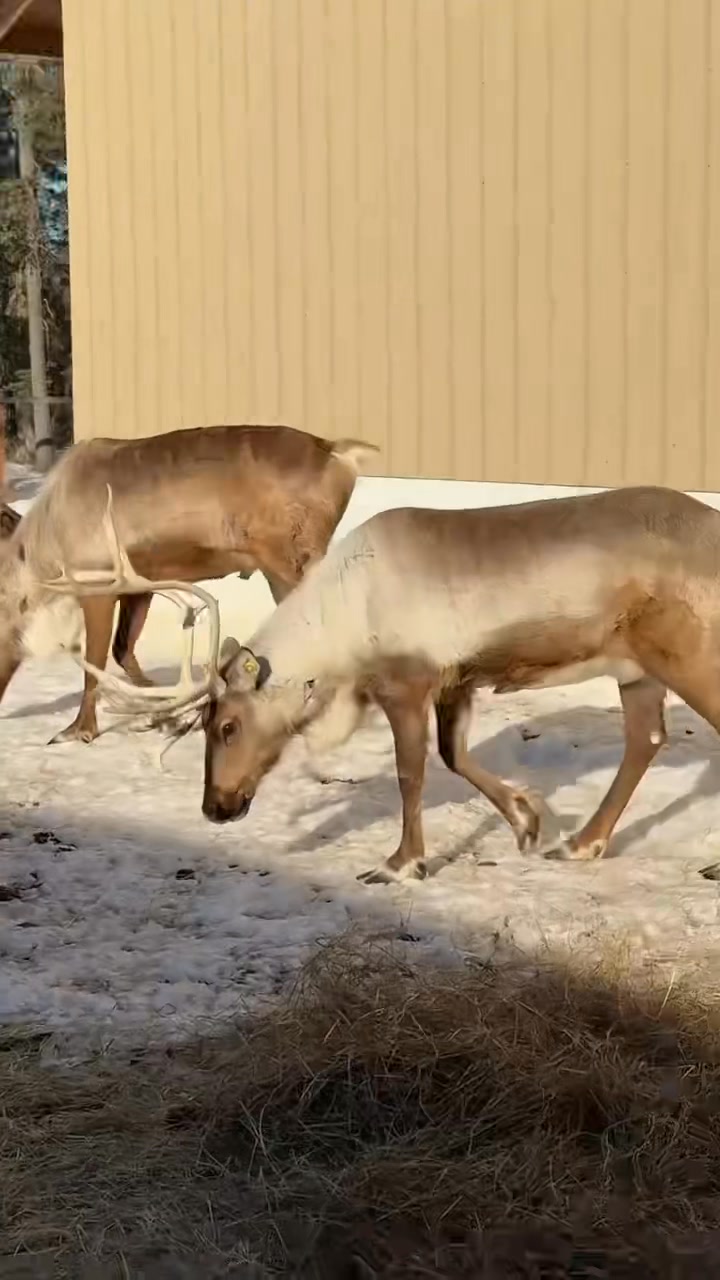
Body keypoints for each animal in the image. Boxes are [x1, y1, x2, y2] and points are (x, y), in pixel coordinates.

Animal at [0, 423, 377, 745]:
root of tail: (340, 453)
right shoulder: (140, 585)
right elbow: (124, 650)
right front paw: (165, 716)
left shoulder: (99, 584)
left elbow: (95, 663)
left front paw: (78, 730)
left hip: (291, 560)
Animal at [45, 483, 720, 883]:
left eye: (228, 724)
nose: (216, 807)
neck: (340, 638)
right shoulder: (456, 679)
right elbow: (454, 755)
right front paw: (528, 819)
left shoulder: (406, 679)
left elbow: (411, 771)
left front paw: (401, 863)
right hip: (635, 665)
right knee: (645, 740)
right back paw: (582, 843)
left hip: (688, 651)